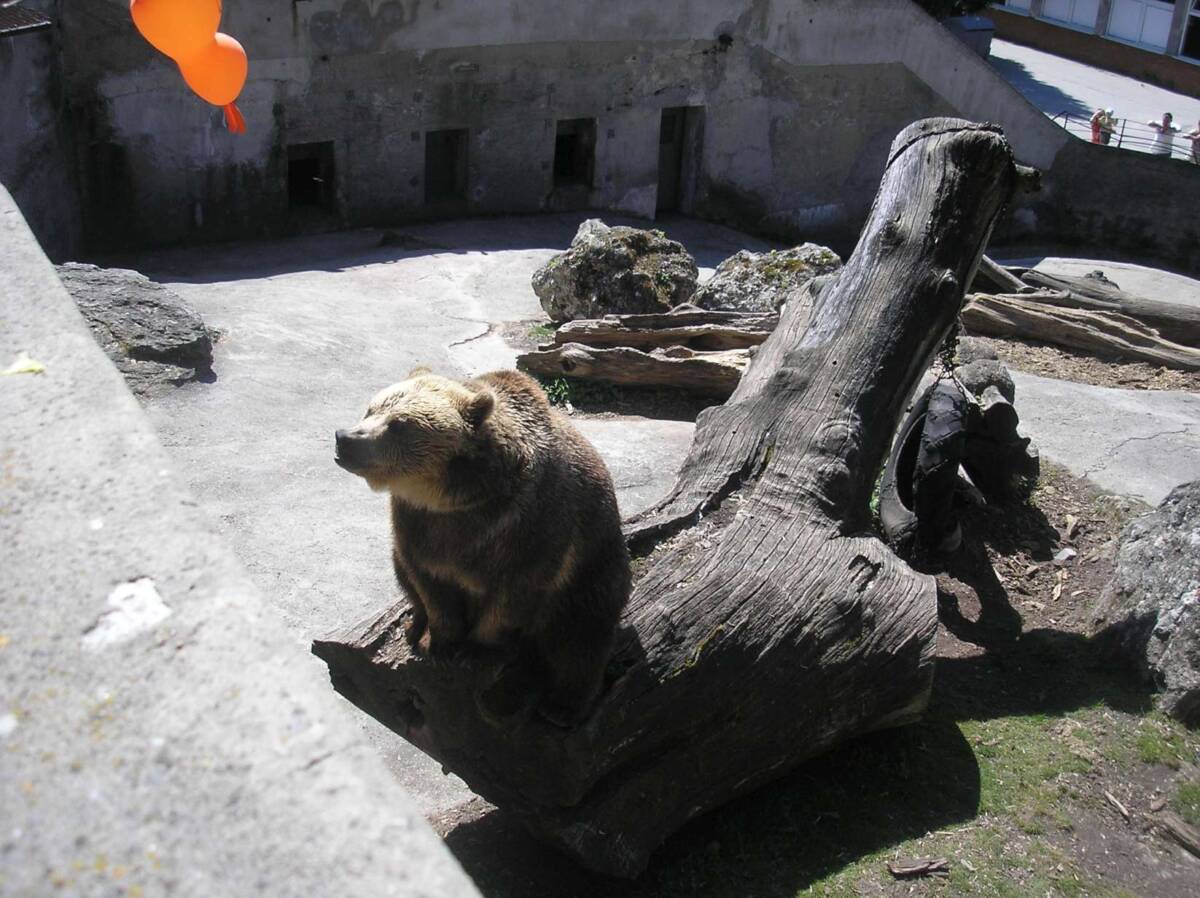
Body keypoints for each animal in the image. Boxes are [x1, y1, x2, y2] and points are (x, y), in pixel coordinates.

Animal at [334, 367, 631, 725]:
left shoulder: (530, 527)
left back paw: (562, 707)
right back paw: (413, 625)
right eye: (372, 408)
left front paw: (474, 651)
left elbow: (515, 593)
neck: (457, 500)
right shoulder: (418, 526)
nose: (345, 437)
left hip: (592, 572)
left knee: (578, 640)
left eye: (399, 424)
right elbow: (429, 582)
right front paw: (438, 641)